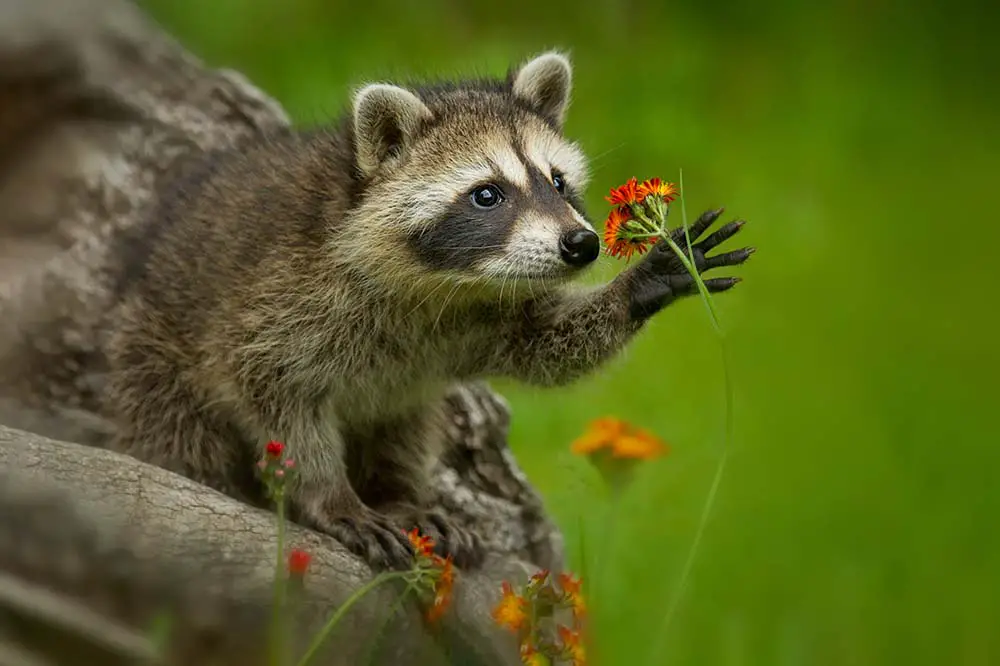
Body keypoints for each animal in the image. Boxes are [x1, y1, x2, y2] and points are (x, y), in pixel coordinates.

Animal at [105, 52, 752, 568]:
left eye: (558, 182)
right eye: (487, 194)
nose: (582, 245)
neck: (441, 285)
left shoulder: (483, 314)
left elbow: (546, 343)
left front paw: (642, 283)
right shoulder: (278, 301)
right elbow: (277, 398)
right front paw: (329, 495)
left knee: (407, 424)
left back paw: (400, 493)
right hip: (152, 359)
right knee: (184, 438)